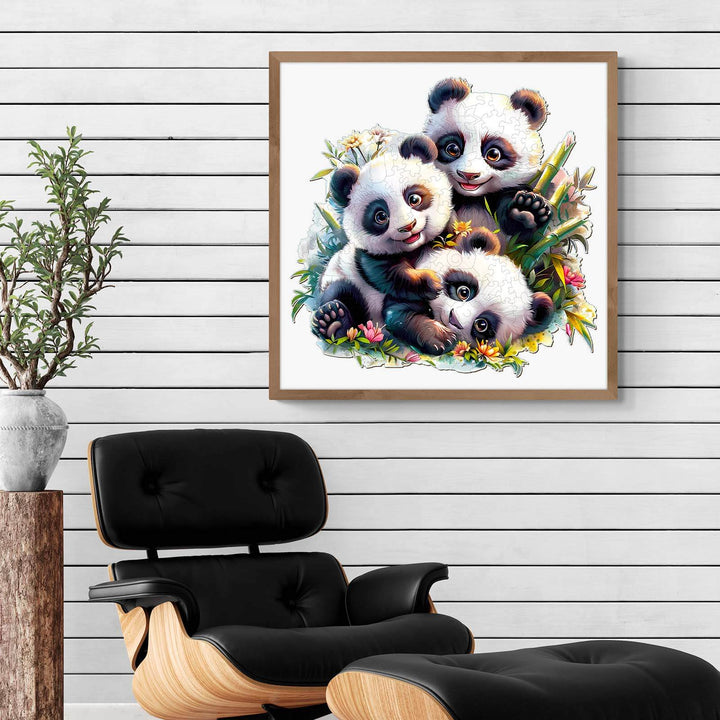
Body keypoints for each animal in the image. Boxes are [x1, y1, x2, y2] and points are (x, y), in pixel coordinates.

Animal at [313, 134, 456, 354]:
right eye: (380, 216)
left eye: (414, 198)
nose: (408, 226)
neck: (414, 248)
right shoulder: (369, 257)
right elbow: (392, 276)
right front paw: (431, 282)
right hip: (343, 279)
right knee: (342, 294)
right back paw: (332, 321)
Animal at [423, 77, 552, 248]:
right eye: (452, 148)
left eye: (493, 154)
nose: (468, 175)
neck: (472, 198)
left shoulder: (507, 190)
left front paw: (527, 211)